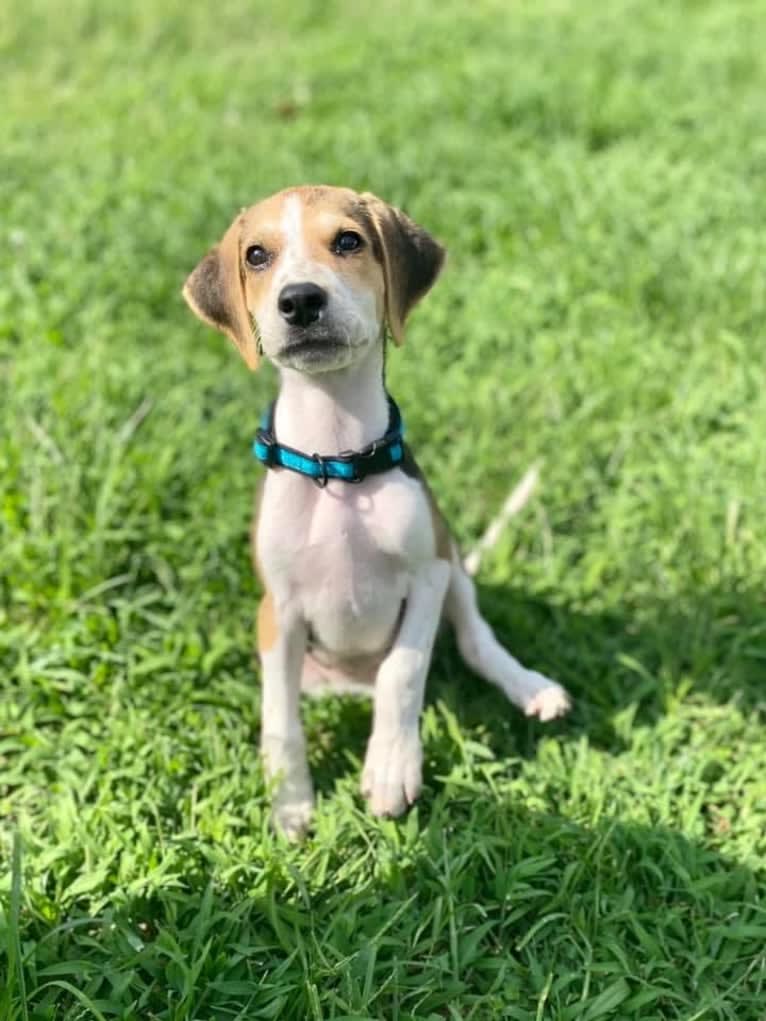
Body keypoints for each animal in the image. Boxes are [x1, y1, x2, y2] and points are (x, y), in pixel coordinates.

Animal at [182, 185, 571, 837]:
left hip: (456, 568)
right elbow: (279, 718)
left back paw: (530, 686)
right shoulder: (277, 610)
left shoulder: (429, 573)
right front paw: (290, 803)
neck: (335, 464)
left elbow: (403, 671)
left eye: (348, 241)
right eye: (257, 255)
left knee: (474, 643)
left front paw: (391, 767)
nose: (300, 300)